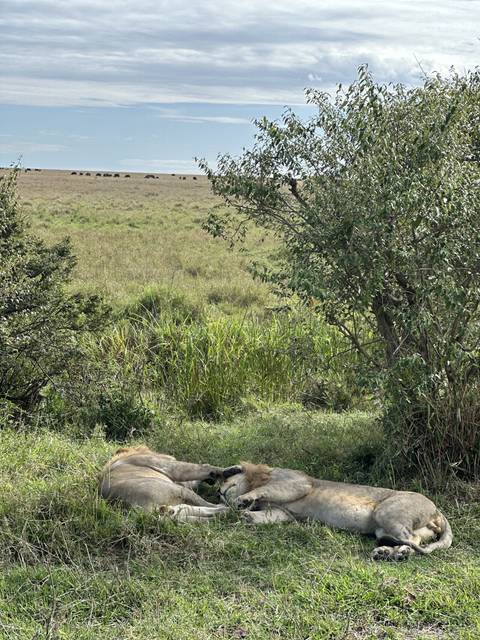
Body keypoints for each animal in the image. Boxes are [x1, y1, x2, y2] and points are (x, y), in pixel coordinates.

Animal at [99, 446, 240, 522]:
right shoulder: (171, 468)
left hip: (171, 504)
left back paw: (218, 516)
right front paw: (231, 470)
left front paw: (211, 479)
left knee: (181, 513)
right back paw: (227, 509)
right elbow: (201, 468)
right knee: (204, 505)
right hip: (176, 489)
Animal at [219, 462, 452, 561]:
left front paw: (242, 500)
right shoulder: (282, 512)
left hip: (385, 512)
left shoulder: (297, 484)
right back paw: (386, 553)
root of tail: (437, 510)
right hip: (384, 529)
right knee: (413, 540)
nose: (217, 492)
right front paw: (246, 515)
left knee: (411, 539)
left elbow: (264, 489)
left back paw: (397, 553)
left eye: (224, 480)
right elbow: (265, 516)